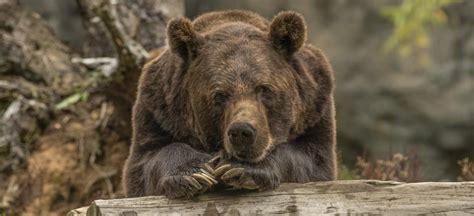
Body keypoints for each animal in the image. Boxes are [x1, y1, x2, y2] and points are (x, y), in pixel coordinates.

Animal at [122, 10, 336, 199]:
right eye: (219, 95)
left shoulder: (315, 108)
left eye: (264, 88)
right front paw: (195, 173)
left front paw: (240, 168)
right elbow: (146, 161)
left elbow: (312, 160)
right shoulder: (158, 111)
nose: (242, 132)